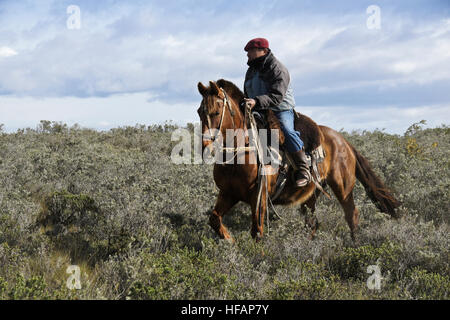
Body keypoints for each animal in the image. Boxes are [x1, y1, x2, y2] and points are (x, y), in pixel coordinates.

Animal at [197, 79, 400, 241]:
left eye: (216, 112)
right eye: (200, 111)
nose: (205, 146)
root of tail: (343, 141)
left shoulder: (259, 197)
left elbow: (257, 231)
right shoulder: (228, 193)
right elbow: (214, 219)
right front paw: (230, 241)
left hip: (343, 187)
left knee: (352, 215)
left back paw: (354, 245)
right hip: (312, 193)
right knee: (312, 222)